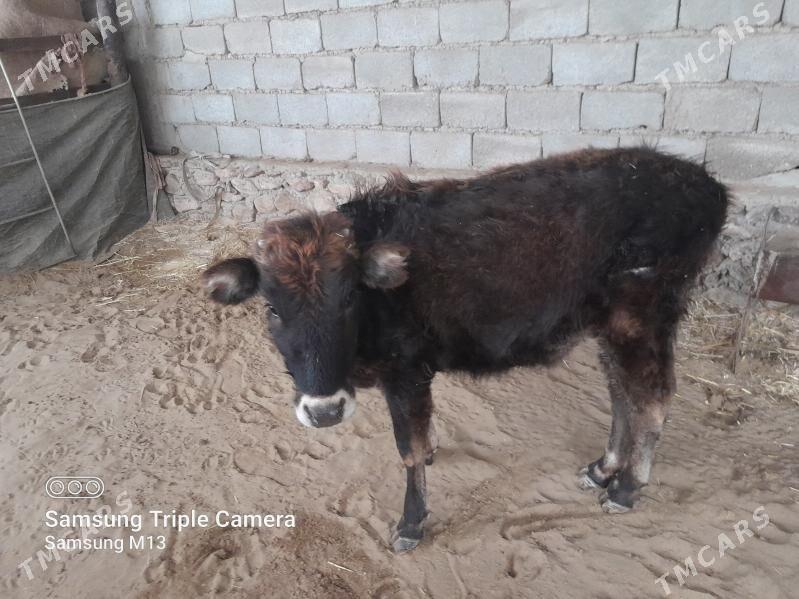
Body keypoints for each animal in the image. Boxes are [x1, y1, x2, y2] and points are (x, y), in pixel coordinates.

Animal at [202, 147, 728, 553]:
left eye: (349, 297)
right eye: (271, 307)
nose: (325, 410)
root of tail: (704, 183)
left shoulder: (406, 371)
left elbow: (408, 449)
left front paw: (411, 524)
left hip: (641, 320)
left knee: (652, 398)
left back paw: (627, 489)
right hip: (608, 326)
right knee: (621, 390)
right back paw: (603, 469)